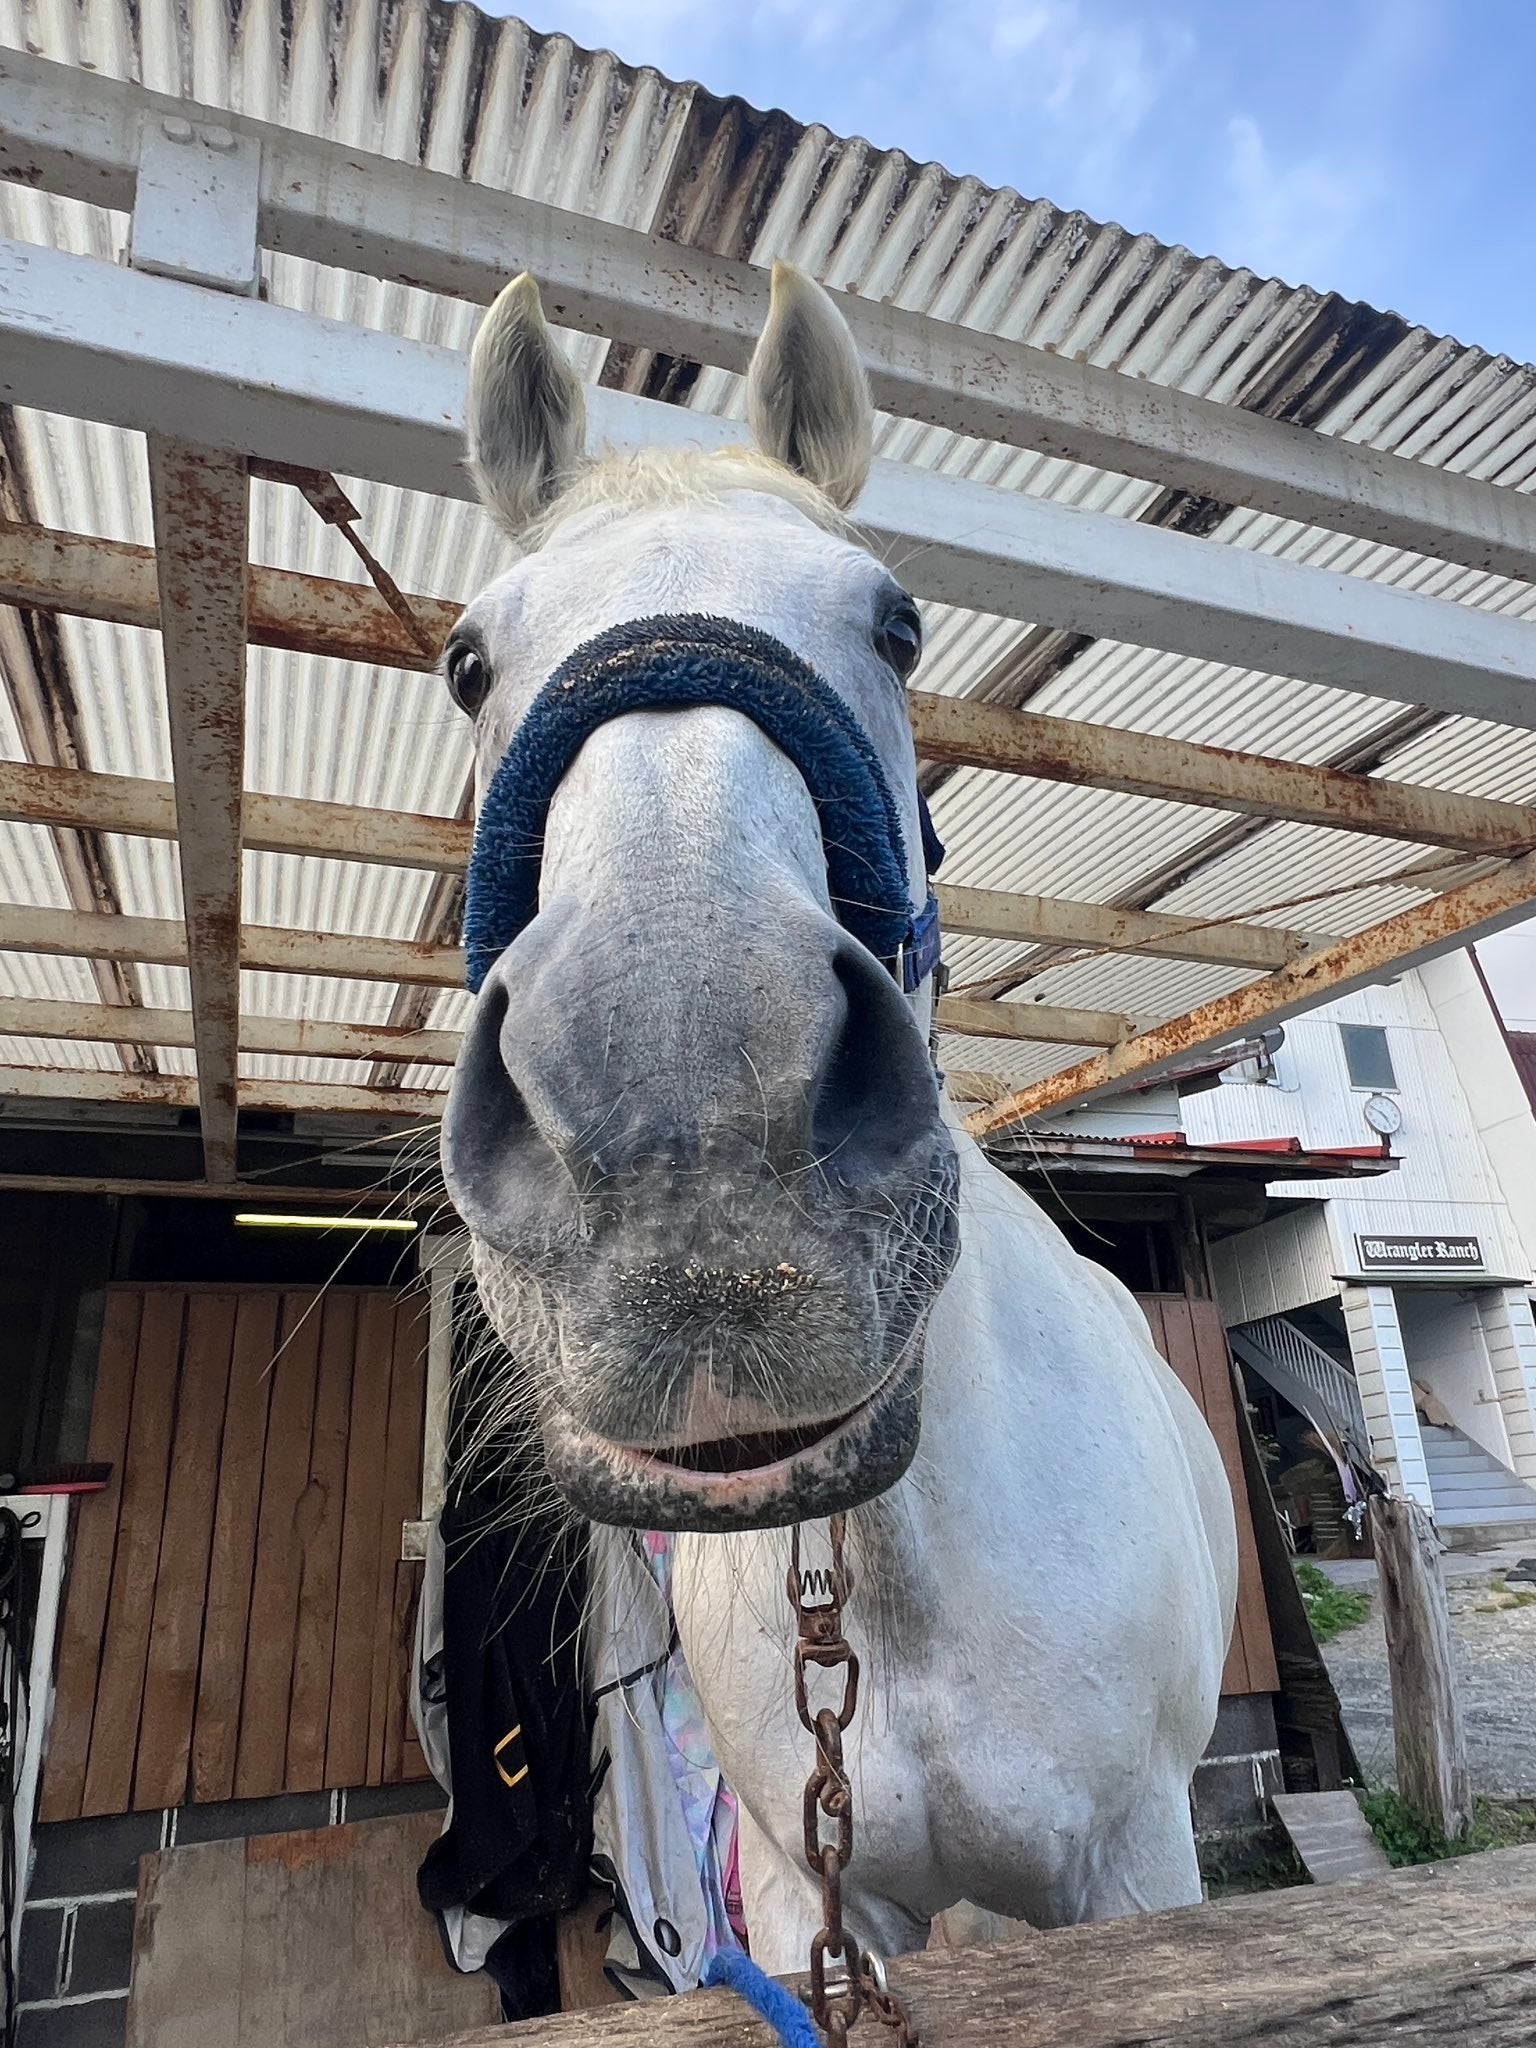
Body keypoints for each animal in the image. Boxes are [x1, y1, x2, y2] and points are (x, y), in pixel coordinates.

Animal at [438, 261, 1238, 1974]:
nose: (688, 1154)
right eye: (468, 662)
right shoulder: (815, 1891)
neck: (889, 1576)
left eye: (897, 622)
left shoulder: (1140, 1873)